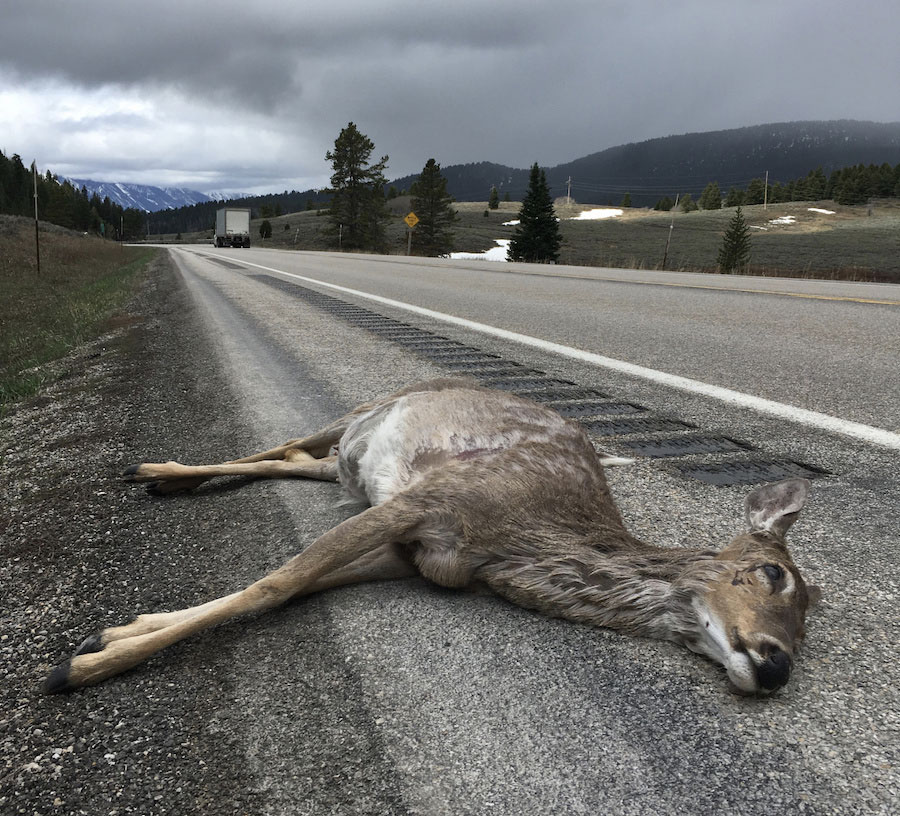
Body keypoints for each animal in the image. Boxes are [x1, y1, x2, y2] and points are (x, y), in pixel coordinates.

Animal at [45, 377, 820, 696]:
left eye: (811, 618)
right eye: (774, 574)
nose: (776, 664)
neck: (522, 545)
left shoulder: (415, 556)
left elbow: (293, 585)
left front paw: (116, 633)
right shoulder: (432, 500)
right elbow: (277, 581)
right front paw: (88, 665)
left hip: (348, 462)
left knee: (293, 459)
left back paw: (164, 478)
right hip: (368, 408)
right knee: (288, 442)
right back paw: (152, 469)